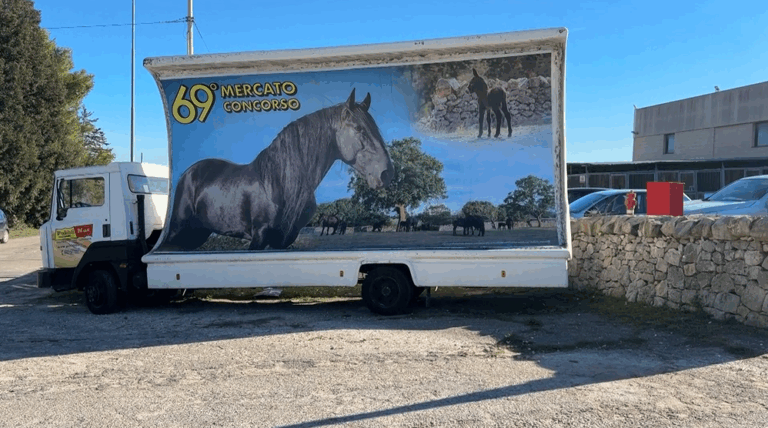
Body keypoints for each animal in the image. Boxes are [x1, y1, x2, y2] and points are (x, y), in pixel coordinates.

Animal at [163, 89, 394, 251]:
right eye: (359, 129)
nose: (387, 173)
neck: (279, 182)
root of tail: (189, 173)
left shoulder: (283, 240)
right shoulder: (259, 235)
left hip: (197, 233)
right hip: (178, 231)